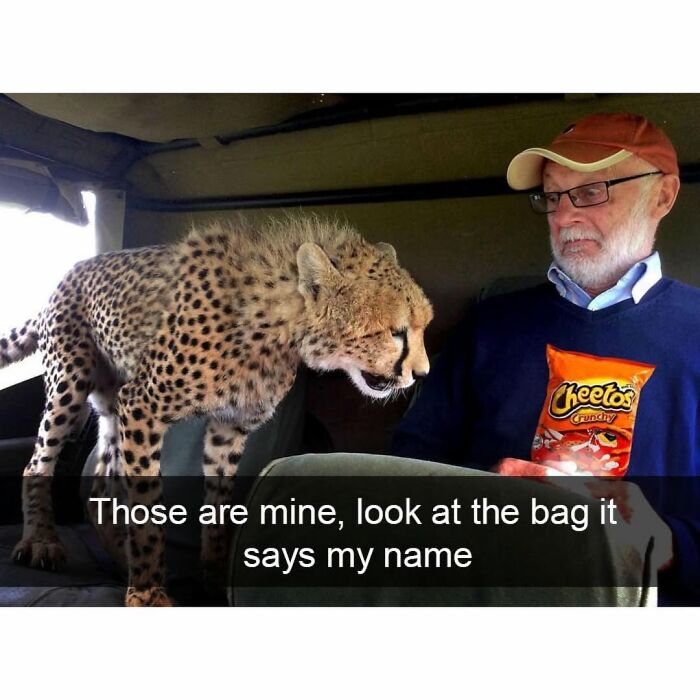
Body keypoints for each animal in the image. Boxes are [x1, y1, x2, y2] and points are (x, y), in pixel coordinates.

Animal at [0, 215, 433, 606]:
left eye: (422, 327)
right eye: (395, 332)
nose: (422, 373)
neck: (278, 324)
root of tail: (71, 270)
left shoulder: (229, 428)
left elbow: (220, 510)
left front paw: (213, 580)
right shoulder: (141, 405)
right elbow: (147, 507)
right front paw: (149, 593)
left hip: (109, 402)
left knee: (101, 482)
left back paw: (119, 559)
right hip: (70, 385)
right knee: (37, 462)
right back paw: (42, 542)